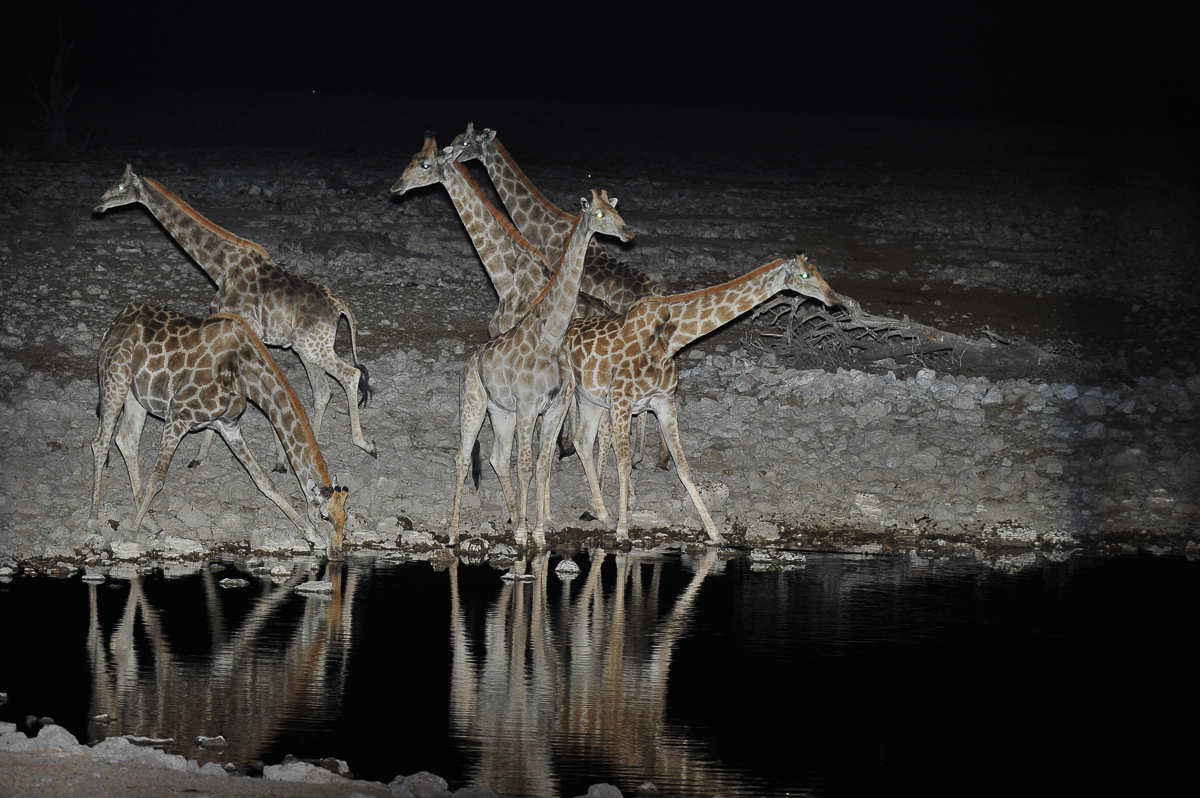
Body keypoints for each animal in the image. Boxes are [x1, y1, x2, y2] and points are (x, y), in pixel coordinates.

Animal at [89, 303, 349, 557]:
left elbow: (264, 481)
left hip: (137, 396)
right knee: (100, 443)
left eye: (345, 517)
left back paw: (151, 523)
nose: (336, 551)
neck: (242, 375)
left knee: (127, 440)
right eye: (324, 516)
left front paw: (310, 534)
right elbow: (157, 479)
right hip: (114, 380)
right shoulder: (177, 416)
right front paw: (131, 534)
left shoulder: (229, 426)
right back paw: (94, 521)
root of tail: (114, 324)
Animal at [94, 164, 376, 472]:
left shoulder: (246, 329)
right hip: (308, 349)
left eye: (121, 187)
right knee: (323, 391)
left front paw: (203, 455)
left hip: (314, 348)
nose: (98, 205)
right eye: (112, 183)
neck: (219, 266)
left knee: (350, 375)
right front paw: (274, 458)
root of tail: (338, 305)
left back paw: (365, 444)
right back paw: (315, 441)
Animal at [448, 189, 633, 547]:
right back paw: (452, 533)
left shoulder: (555, 407)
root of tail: (468, 364)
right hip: (473, 404)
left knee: (497, 458)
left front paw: (538, 533)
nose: (627, 232)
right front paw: (523, 534)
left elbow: (542, 466)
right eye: (599, 214)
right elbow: (525, 465)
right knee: (463, 458)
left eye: (616, 209)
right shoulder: (528, 405)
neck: (552, 336)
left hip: (500, 411)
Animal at [566, 252, 842, 543]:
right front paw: (622, 530)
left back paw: (601, 513)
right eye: (805, 275)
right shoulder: (622, 402)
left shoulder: (664, 401)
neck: (670, 340)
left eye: (818, 271)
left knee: (583, 441)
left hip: (590, 400)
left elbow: (683, 466)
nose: (834, 299)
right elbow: (625, 464)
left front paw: (714, 534)